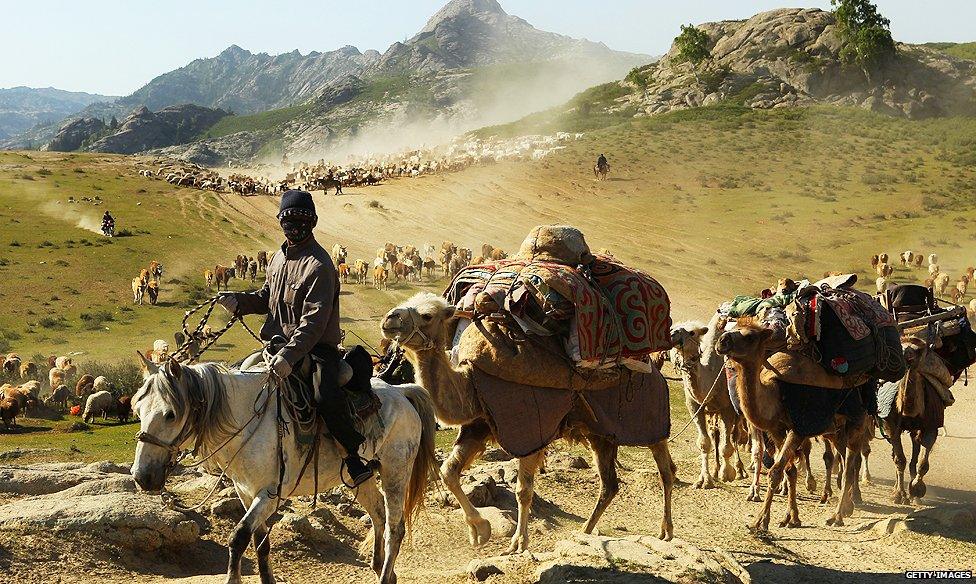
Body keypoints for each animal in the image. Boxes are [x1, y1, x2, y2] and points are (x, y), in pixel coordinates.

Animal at [132, 354, 436, 580]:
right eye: (137, 409)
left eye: (170, 414)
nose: (141, 476)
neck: (247, 420)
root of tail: (402, 392)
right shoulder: (245, 492)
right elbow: (260, 542)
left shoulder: (269, 494)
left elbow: (238, 537)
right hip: (361, 476)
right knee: (378, 515)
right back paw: (381, 568)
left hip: (395, 473)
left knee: (395, 528)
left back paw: (385, 573)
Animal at [386, 294, 676, 556]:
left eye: (427, 315)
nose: (390, 319)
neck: (470, 385)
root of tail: (657, 373)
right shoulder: (479, 426)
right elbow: (448, 472)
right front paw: (479, 530)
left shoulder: (529, 433)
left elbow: (523, 491)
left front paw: (518, 543)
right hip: (601, 434)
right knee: (609, 484)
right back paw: (585, 531)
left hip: (651, 423)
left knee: (665, 469)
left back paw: (666, 530)